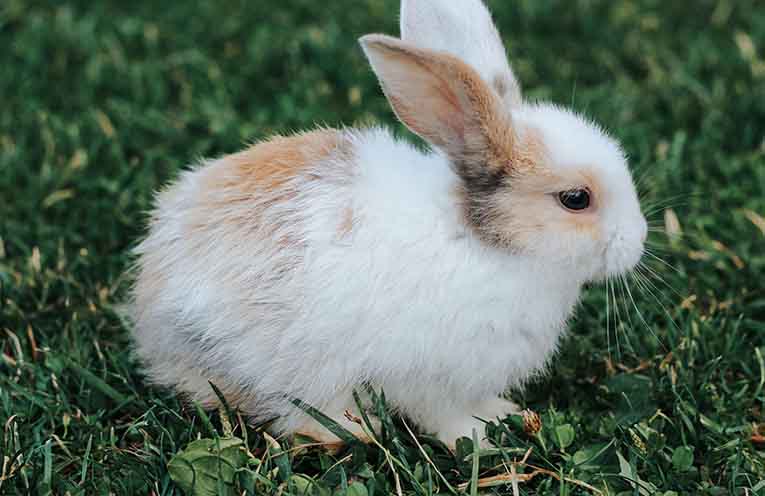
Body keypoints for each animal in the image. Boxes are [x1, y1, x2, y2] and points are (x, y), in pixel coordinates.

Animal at [128, 0, 647, 448]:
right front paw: (477, 439)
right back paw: (356, 429)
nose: (639, 240)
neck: (486, 242)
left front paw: (504, 414)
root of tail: (150, 312)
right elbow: (445, 415)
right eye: (576, 199)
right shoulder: (430, 378)